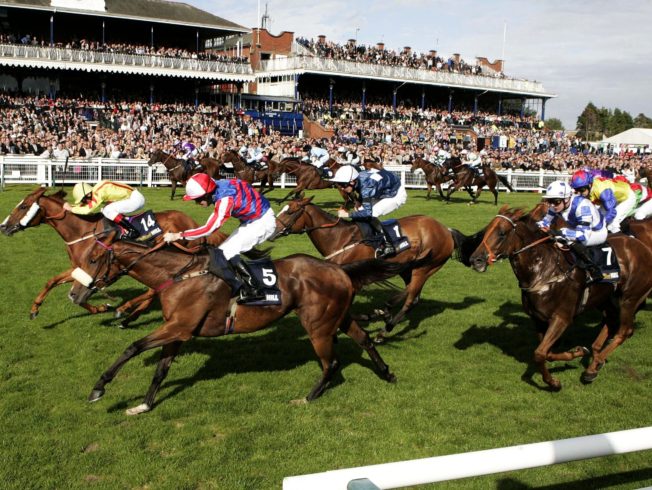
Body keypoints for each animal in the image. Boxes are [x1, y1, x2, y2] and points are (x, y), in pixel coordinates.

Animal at [67, 237, 402, 414]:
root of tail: (339, 269)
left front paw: (99, 388)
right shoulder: (178, 331)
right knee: (363, 339)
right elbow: (161, 370)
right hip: (337, 316)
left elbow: (132, 347)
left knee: (330, 362)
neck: (179, 276)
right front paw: (145, 405)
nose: (74, 293)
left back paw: (308, 397)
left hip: (318, 325)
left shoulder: (178, 328)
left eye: (94, 259)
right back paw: (386, 373)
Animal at [270, 195, 474, 340]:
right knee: (413, 295)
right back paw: (383, 315)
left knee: (410, 297)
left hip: (426, 267)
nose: (272, 232)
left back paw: (385, 322)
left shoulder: (351, 278)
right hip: (408, 267)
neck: (340, 237)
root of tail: (446, 230)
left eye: (290, 212)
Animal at [468, 205, 652, 388]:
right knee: (611, 322)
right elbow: (546, 353)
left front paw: (553, 382)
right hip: (605, 298)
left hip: (629, 298)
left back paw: (595, 363)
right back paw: (594, 361)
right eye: (486, 230)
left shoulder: (562, 318)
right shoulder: (539, 319)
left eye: (502, 233)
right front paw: (577, 352)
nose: (475, 260)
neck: (544, 271)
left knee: (625, 331)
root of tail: (643, 247)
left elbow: (539, 353)